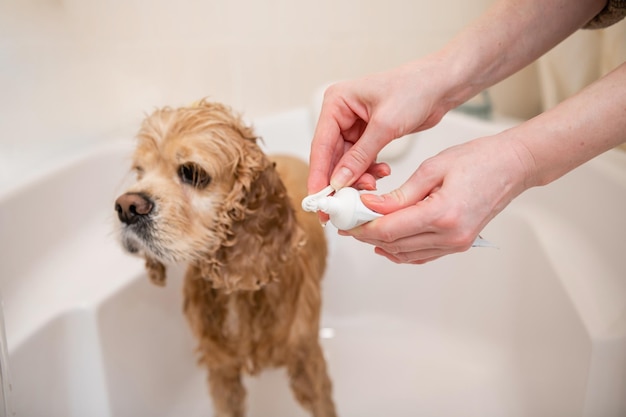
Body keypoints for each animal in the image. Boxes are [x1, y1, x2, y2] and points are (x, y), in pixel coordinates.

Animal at [114, 101, 334, 416]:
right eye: (139, 172)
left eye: (192, 172)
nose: (125, 207)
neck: (238, 289)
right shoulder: (222, 371)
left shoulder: (308, 364)